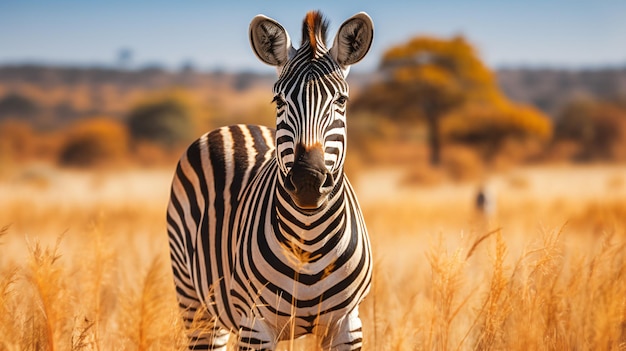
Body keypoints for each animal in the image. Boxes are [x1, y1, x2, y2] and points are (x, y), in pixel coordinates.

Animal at [165, 11, 370, 351]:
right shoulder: (255, 325)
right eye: (278, 101)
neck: (309, 241)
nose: (307, 180)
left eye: (341, 100)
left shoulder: (347, 324)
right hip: (195, 304)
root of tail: (236, 125)